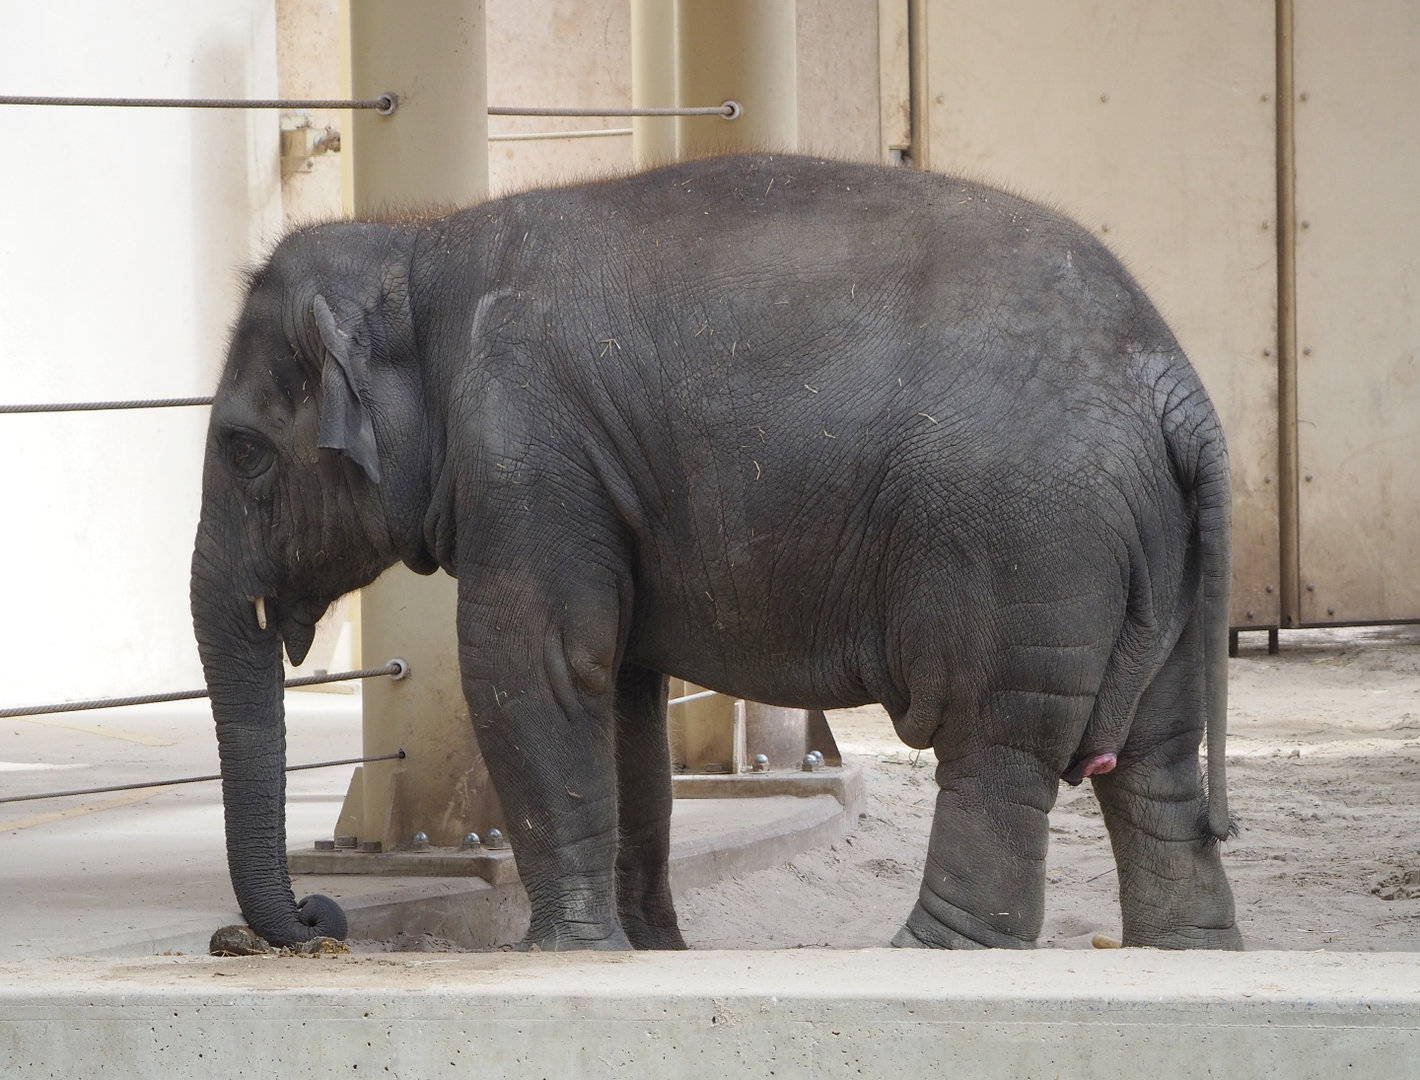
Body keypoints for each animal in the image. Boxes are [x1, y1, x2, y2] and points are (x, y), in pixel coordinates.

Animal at [191, 152, 1241, 952]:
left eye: (243, 451)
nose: (316, 918)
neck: (418, 247)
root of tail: (1173, 382)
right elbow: (620, 697)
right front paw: (648, 950)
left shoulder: (529, 452)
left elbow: (531, 664)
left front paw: (565, 955)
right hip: (1151, 556)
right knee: (1158, 758)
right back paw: (1181, 956)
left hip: (1023, 541)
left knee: (996, 739)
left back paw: (925, 956)